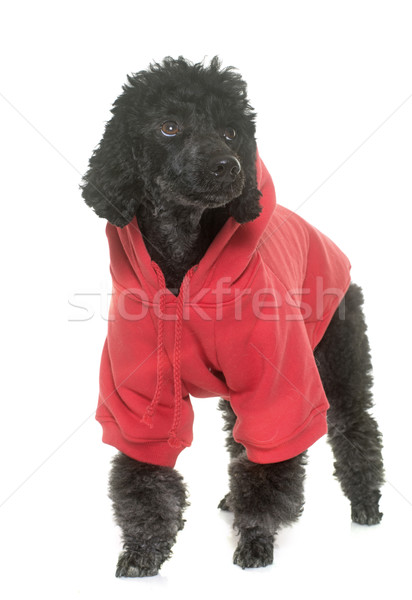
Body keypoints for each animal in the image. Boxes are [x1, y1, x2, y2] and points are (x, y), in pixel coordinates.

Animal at [80, 57, 384, 576]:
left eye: (230, 132)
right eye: (169, 127)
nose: (230, 166)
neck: (182, 271)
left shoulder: (275, 390)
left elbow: (269, 468)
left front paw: (256, 539)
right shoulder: (139, 402)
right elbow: (144, 479)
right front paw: (143, 551)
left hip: (337, 358)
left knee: (353, 426)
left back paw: (365, 503)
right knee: (242, 443)